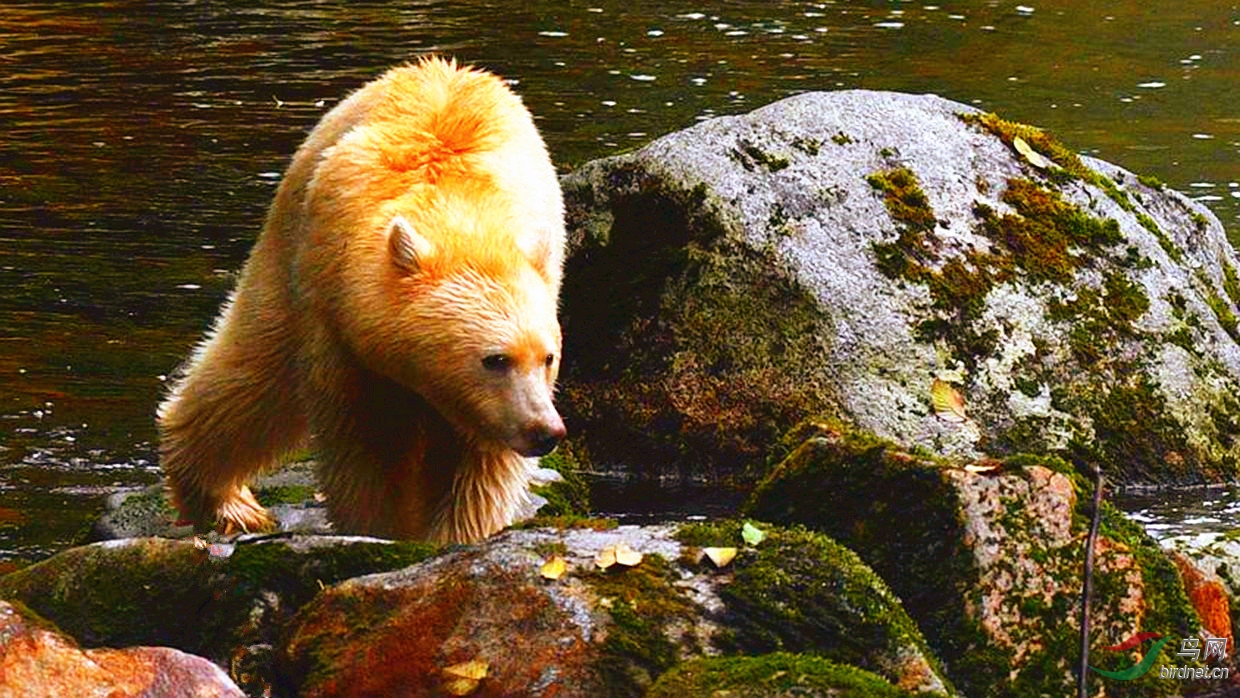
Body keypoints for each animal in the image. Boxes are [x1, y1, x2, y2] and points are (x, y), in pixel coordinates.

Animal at [155, 56, 567, 545]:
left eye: (548, 357)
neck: (461, 218)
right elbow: (368, 440)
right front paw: (381, 529)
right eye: (495, 359)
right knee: (255, 374)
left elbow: (476, 465)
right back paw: (224, 500)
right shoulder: (340, 325)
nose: (545, 431)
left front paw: (453, 535)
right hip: (289, 246)